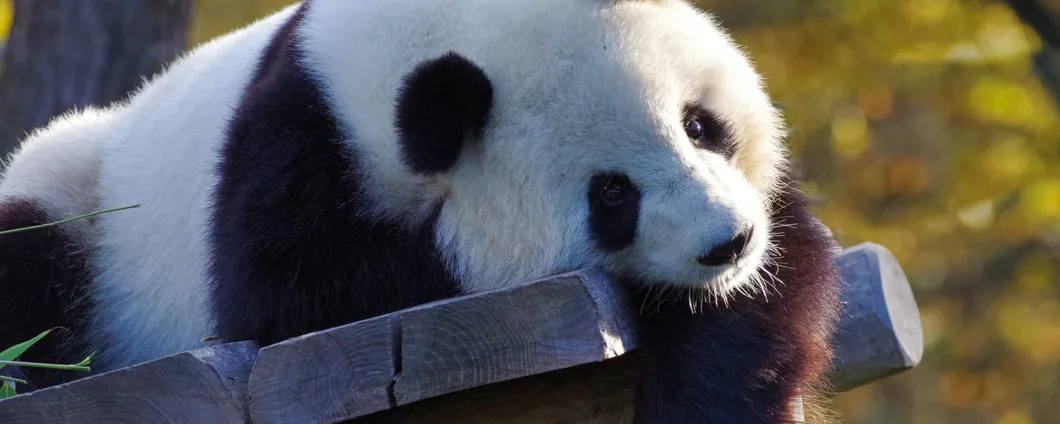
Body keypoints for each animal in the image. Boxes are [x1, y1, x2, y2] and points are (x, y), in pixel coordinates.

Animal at [0, 0, 843, 422]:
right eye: (612, 194)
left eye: (700, 124)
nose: (727, 243)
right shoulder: (294, 151)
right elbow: (292, 302)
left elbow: (773, 288)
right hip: (80, 197)